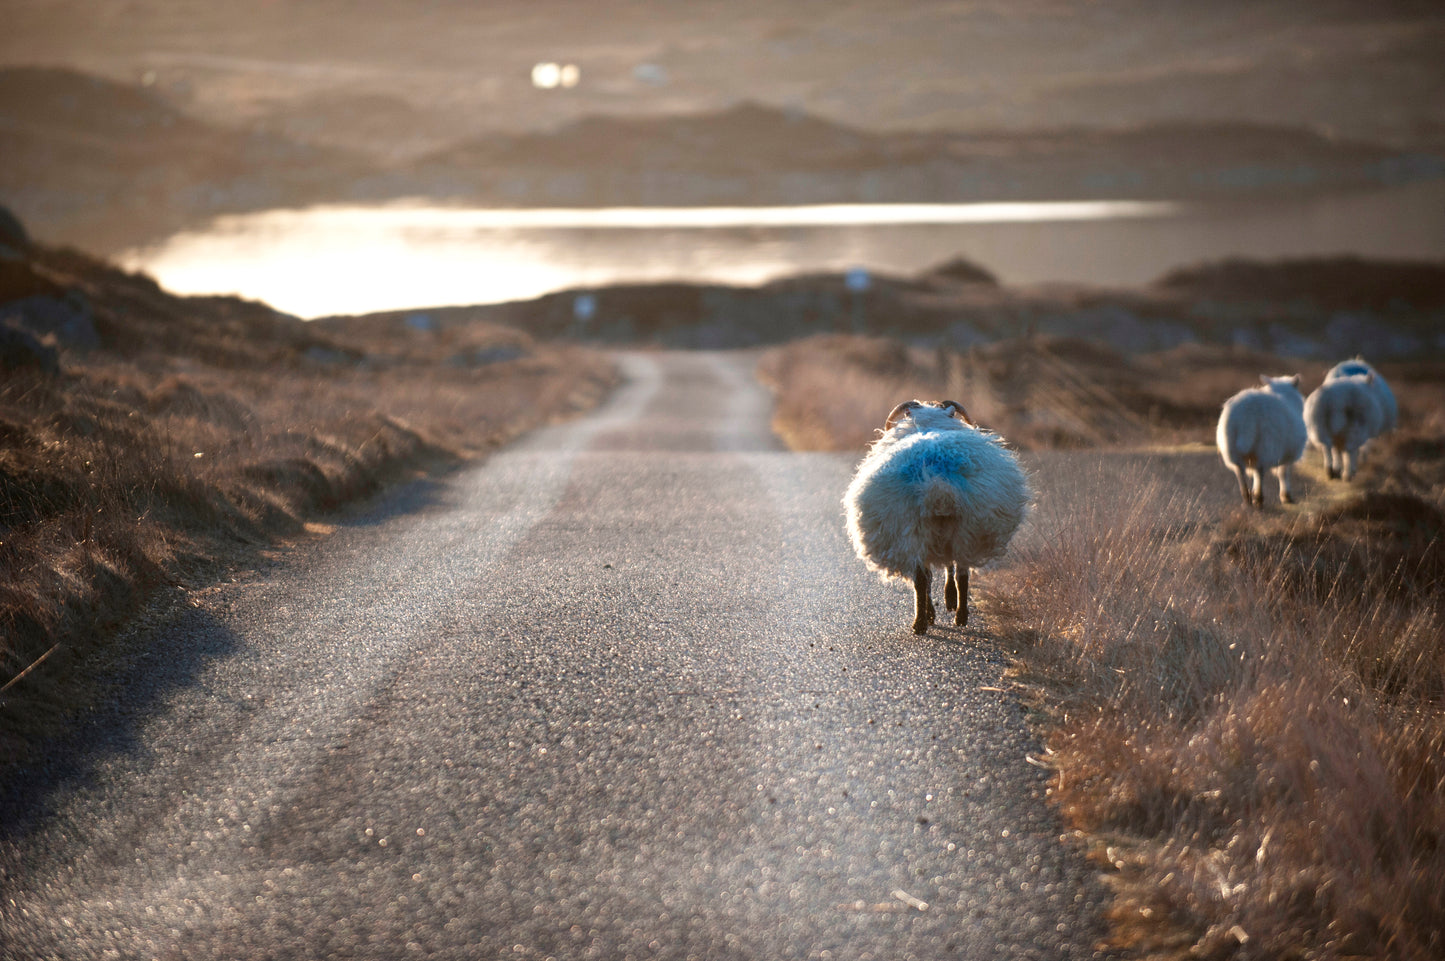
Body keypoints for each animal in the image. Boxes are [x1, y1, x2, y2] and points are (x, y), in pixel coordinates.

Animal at [843, 399, 1030, 634]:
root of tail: (938, 485)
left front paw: (939, 606)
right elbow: (946, 570)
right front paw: (946, 601)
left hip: (918, 532)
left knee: (927, 578)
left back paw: (925, 620)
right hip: (964, 531)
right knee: (958, 575)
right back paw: (955, 616)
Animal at [1215, 375, 1307, 508]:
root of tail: (1247, 413)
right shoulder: (1287, 456)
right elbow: (1283, 473)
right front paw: (1286, 497)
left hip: (1231, 448)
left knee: (1240, 471)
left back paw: (1247, 498)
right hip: (1265, 447)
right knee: (1260, 471)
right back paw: (1259, 498)